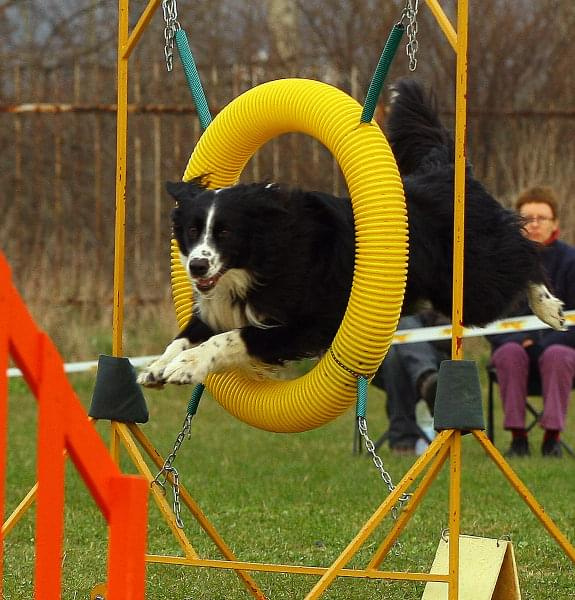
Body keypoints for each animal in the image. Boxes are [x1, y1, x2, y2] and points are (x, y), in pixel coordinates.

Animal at [137, 78, 564, 390]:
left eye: (225, 232)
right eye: (193, 230)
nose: (196, 266)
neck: (264, 254)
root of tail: (444, 169)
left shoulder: (305, 322)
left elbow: (228, 338)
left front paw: (187, 367)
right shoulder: (217, 308)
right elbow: (184, 335)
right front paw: (157, 367)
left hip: (471, 285)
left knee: (524, 254)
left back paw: (551, 308)